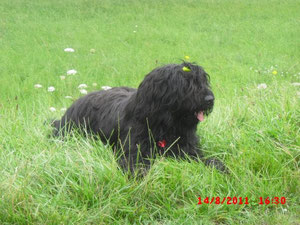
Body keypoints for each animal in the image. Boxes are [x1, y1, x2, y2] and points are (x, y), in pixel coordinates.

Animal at [52, 62, 225, 175]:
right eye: (186, 84)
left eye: (203, 80)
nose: (210, 99)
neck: (164, 126)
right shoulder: (133, 151)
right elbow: (135, 165)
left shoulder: (188, 150)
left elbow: (205, 159)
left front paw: (219, 167)